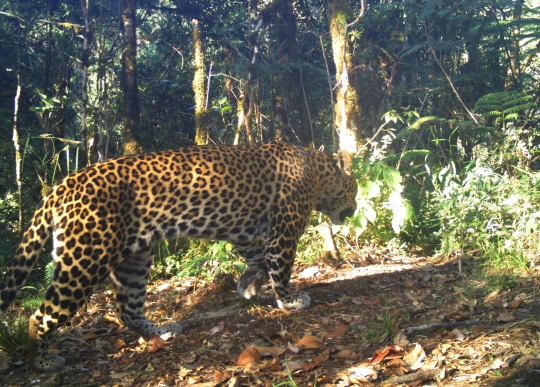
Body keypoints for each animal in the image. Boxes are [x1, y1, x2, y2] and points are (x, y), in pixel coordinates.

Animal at [0, 141, 358, 372]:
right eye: (354, 189)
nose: (354, 210)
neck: (318, 171)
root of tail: (62, 186)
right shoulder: (283, 229)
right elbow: (280, 267)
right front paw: (290, 300)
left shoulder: (245, 232)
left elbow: (257, 260)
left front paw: (248, 286)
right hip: (85, 258)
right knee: (40, 316)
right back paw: (43, 362)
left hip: (135, 258)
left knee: (127, 308)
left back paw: (161, 332)